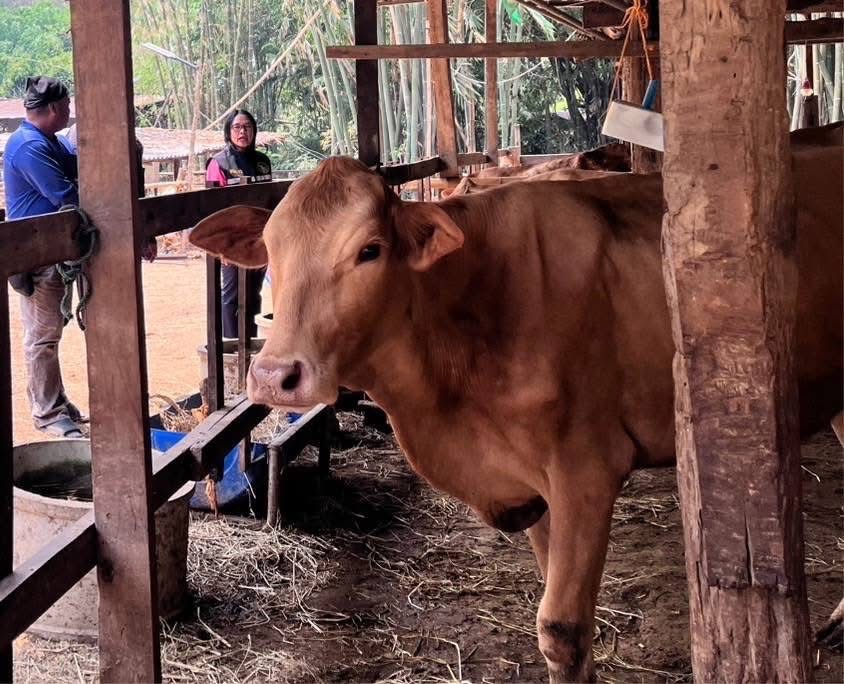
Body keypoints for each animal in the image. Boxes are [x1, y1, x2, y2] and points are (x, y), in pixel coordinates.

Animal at [188, 143, 842, 682]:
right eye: (271, 253)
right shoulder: (530, 486)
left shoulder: (586, 471)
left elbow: (562, 628)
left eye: (369, 251)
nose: (273, 376)